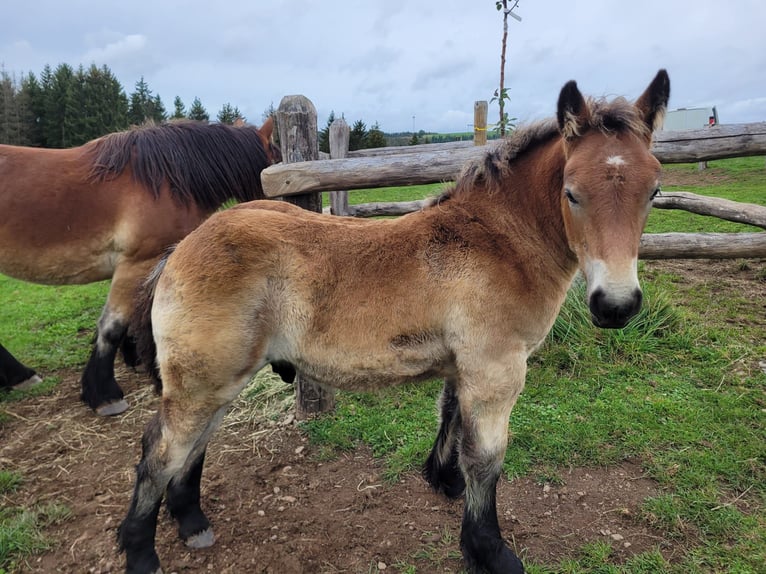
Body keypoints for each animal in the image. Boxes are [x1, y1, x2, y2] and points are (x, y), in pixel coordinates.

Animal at [120, 72, 672, 574]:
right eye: (572, 192)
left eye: (654, 191)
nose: (616, 306)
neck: (499, 240)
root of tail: (181, 249)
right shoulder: (496, 371)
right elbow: (487, 459)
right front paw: (489, 551)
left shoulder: (465, 366)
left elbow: (451, 419)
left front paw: (444, 482)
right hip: (203, 380)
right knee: (161, 451)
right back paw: (140, 550)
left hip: (219, 380)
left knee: (193, 447)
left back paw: (192, 522)